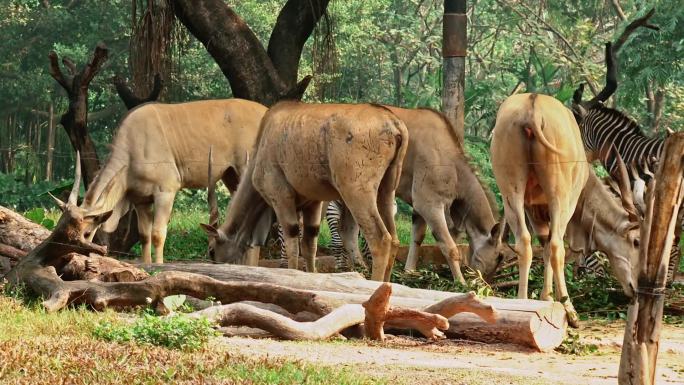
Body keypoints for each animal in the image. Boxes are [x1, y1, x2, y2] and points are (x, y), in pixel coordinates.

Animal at [81, 98, 268, 264]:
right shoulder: (141, 201)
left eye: (87, 232)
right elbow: (144, 236)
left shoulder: (166, 191)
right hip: (230, 175)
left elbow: (158, 234)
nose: (80, 251)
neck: (132, 148)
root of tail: (265, 110)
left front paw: (159, 266)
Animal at [200, 101, 408, 282]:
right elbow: (309, 245)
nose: (215, 265)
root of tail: (393, 123)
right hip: (386, 191)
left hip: (357, 192)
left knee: (381, 239)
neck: (262, 145)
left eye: (211, 249)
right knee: (395, 240)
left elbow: (292, 244)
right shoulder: (313, 204)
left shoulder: (281, 197)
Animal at [488, 92, 640, 324]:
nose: (636, 289)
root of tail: (532, 108)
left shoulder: (534, 210)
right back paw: (570, 310)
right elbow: (553, 248)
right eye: (636, 242)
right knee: (556, 246)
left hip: (511, 193)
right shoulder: (566, 205)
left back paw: (521, 301)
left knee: (524, 241)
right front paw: (553, 299)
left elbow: (542, 247)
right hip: (558, 196)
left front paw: (546, 297)